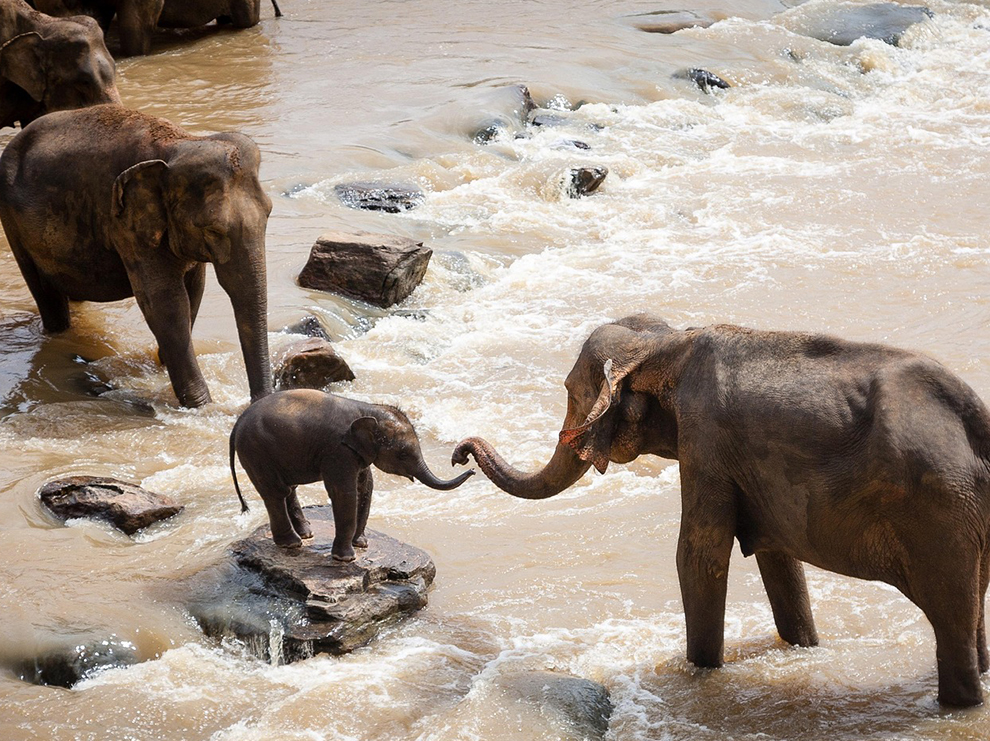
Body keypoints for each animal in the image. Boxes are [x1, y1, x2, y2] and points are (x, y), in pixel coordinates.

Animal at [0, 104, 274, 408]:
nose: (256, 402)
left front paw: (165, 366)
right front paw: (201, 406)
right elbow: (165, 301)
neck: (180, 143)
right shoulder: (125, 222)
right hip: (13, 224)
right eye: (213, 230)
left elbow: (194, 291)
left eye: (269, 212)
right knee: (46, 296)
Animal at [229, 389, 475, 561]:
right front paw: (346, 558)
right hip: (256, 452)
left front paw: (361, 544)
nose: (469, 465)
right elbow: (344, 493)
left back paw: (306, 534)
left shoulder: (358, 452)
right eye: (403, 454)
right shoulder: (338, 451)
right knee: (275, 492)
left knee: (287, 489)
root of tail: (236, 424)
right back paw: (291, 543)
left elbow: (365, 487)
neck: (368, 409)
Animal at [452, 314, 990, 707]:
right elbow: (779, 561)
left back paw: (958, 703)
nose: (459, 455)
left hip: (940, 514)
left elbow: (697, 556)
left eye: (568, 391)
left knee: (951, 617)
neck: (666, 343)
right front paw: (803, 647)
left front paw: (700, 673)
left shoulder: (705, 442)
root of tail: (975, 424)